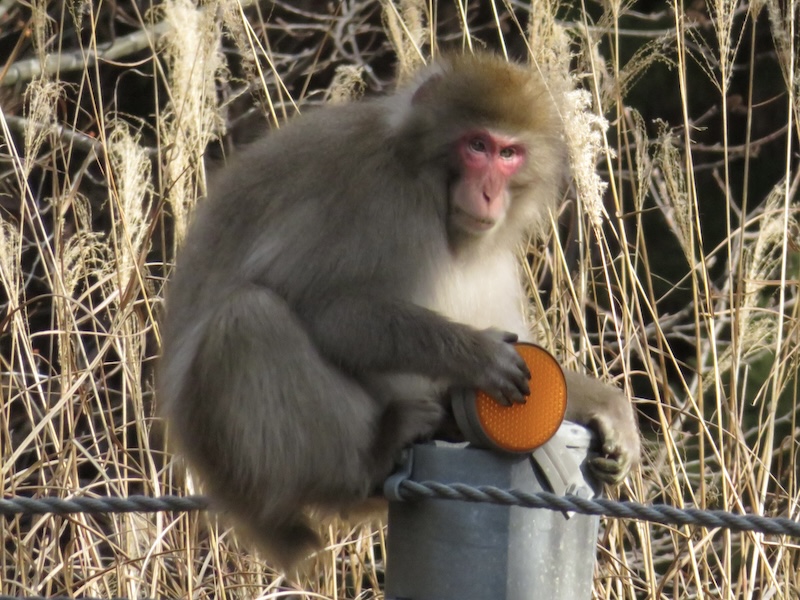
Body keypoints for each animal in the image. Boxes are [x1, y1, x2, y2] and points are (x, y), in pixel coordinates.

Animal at [159, 54, 640, 568]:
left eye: (509, 153)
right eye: (477, 146)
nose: (490, 194)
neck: (423, 175)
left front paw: (606, 407)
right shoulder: (379, 197)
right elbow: (329, 310)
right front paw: (477, 355)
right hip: (234, 455)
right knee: (249, 318)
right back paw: (371, 458)